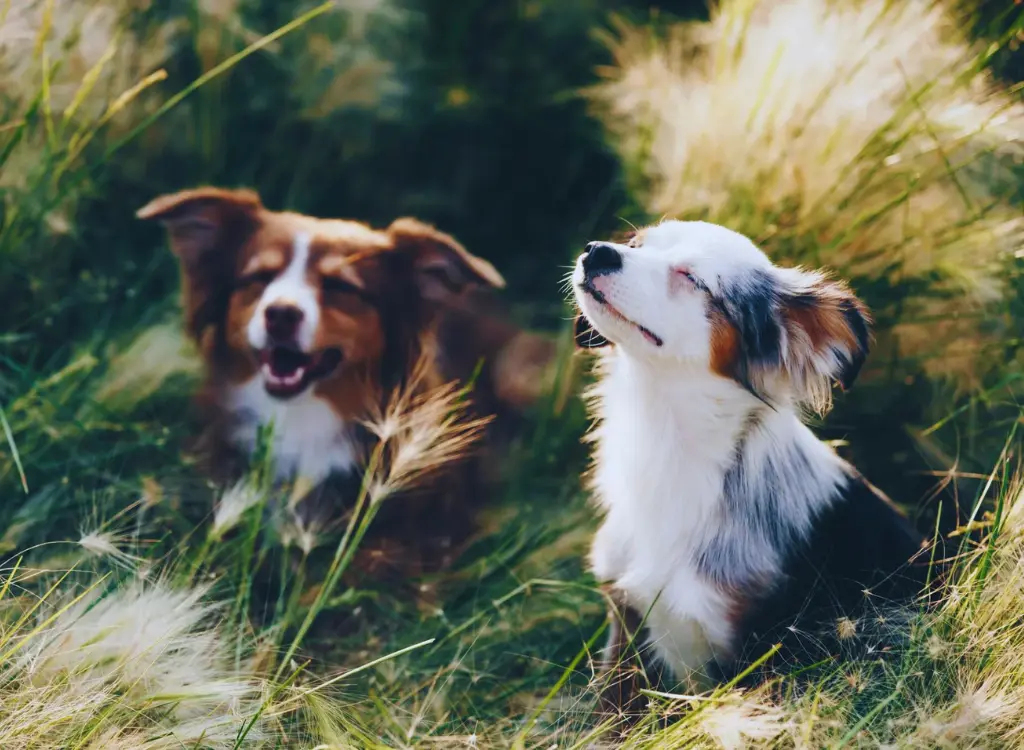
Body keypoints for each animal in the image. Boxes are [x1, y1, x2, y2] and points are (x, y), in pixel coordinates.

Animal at [573, 218, 933, 713]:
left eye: (692, 279)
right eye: (637, 244)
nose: (597, 251)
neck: (667, 443)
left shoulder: (755, 655)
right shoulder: (625, 630)